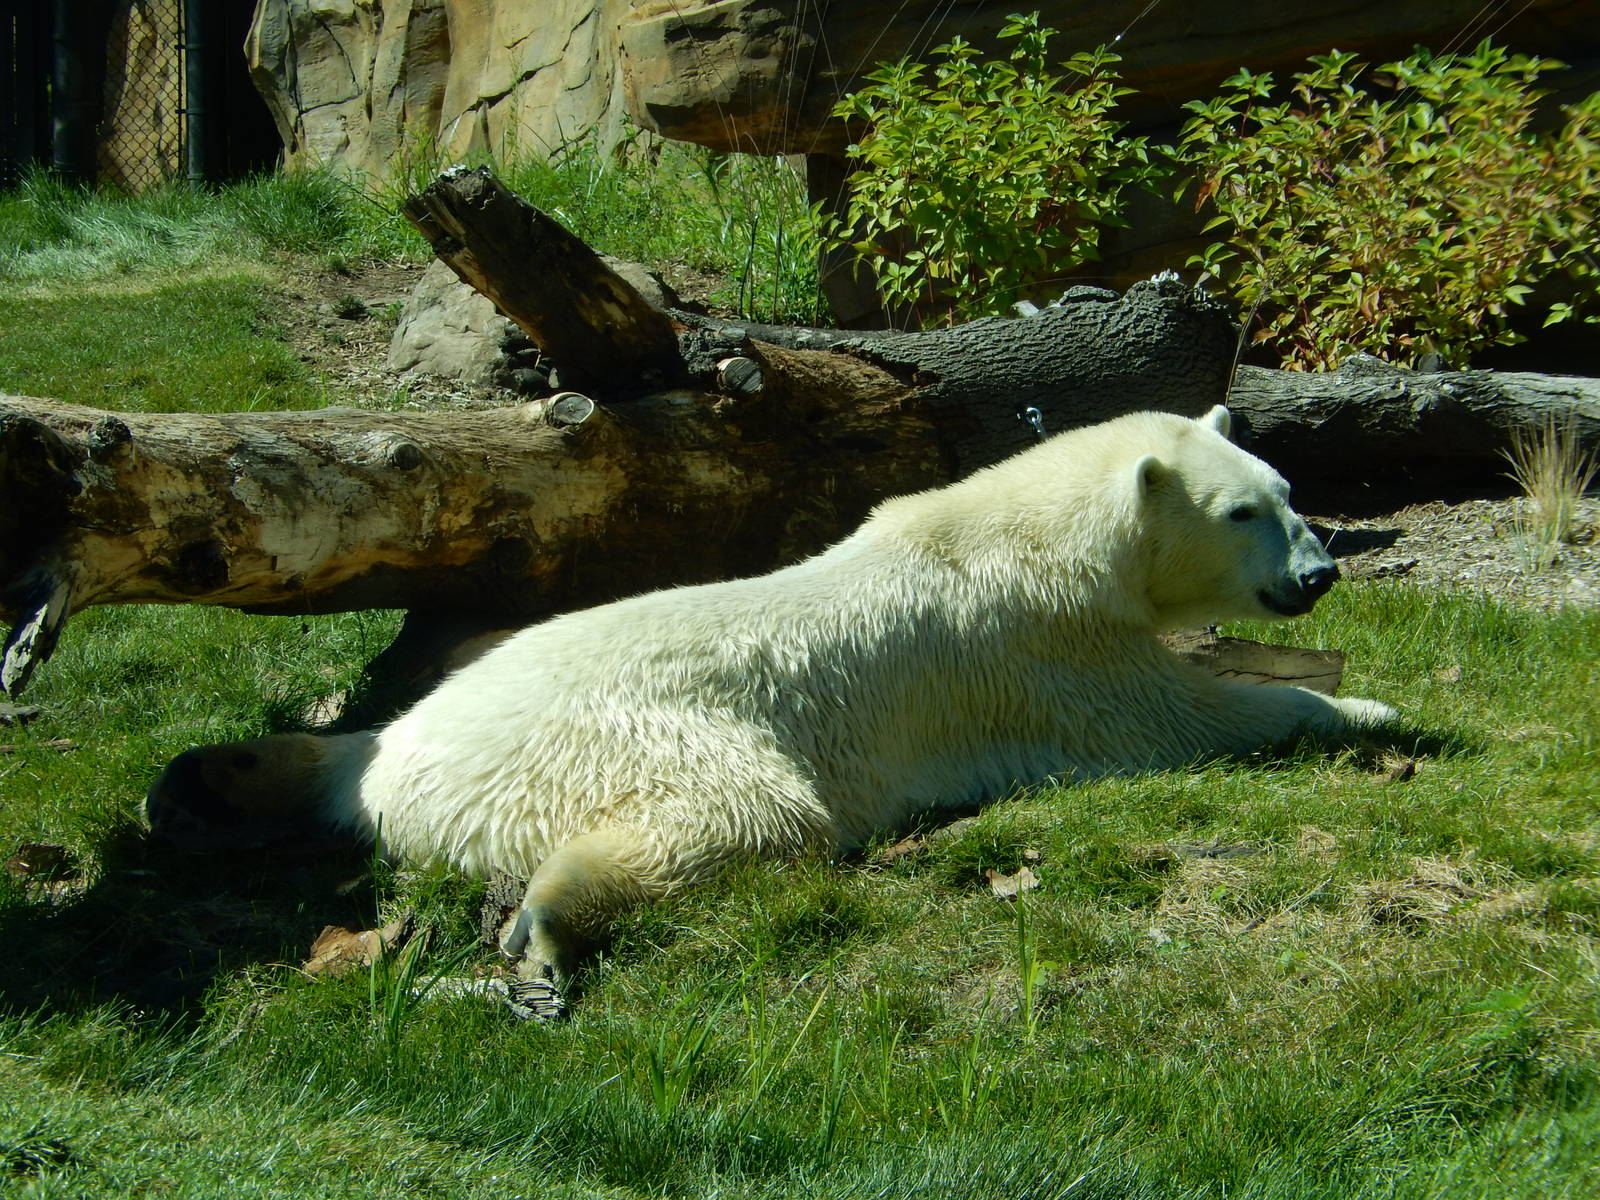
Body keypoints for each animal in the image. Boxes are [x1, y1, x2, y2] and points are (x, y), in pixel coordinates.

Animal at [146, 405, 1394, 1010]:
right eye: (1243, 512)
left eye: (1289, 490)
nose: (1320, 573)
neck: (1025, 532)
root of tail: (408, 780)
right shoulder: (1042, 648)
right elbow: (1178, 718)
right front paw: (1369, 709)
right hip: (628, 741)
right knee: (746, 819)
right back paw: (546, 926)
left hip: (438, 714)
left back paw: (216, 779)